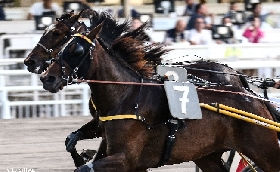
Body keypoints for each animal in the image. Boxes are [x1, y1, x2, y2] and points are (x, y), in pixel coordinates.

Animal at [39, 21, 280, 172]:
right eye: (63, 45)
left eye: (76, 49)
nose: (46, 77)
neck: (127, 96)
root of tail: (255, 98)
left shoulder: (125, 159)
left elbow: (84, 168)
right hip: (207, 155)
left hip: (264, 150)